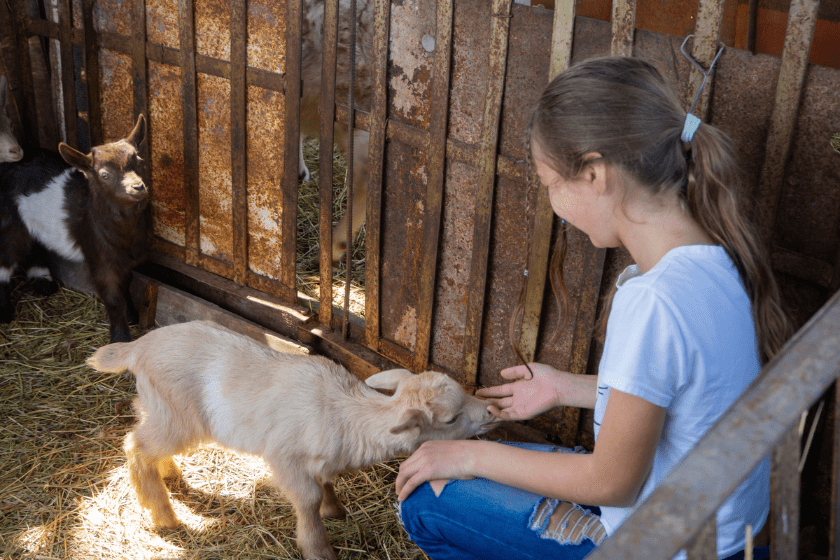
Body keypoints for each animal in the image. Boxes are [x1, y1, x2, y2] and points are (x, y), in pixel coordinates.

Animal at [0, 114, 151, 342]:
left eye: (140, 162)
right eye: (104, 175)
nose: (138, 187)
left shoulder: (124, 257)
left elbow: (126, 286)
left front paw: (132, 317)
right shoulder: (98, 255)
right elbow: (113, 298)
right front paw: (121, 339)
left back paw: (44, 282)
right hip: (9, 220)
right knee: (6, 258)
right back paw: (5, 313)